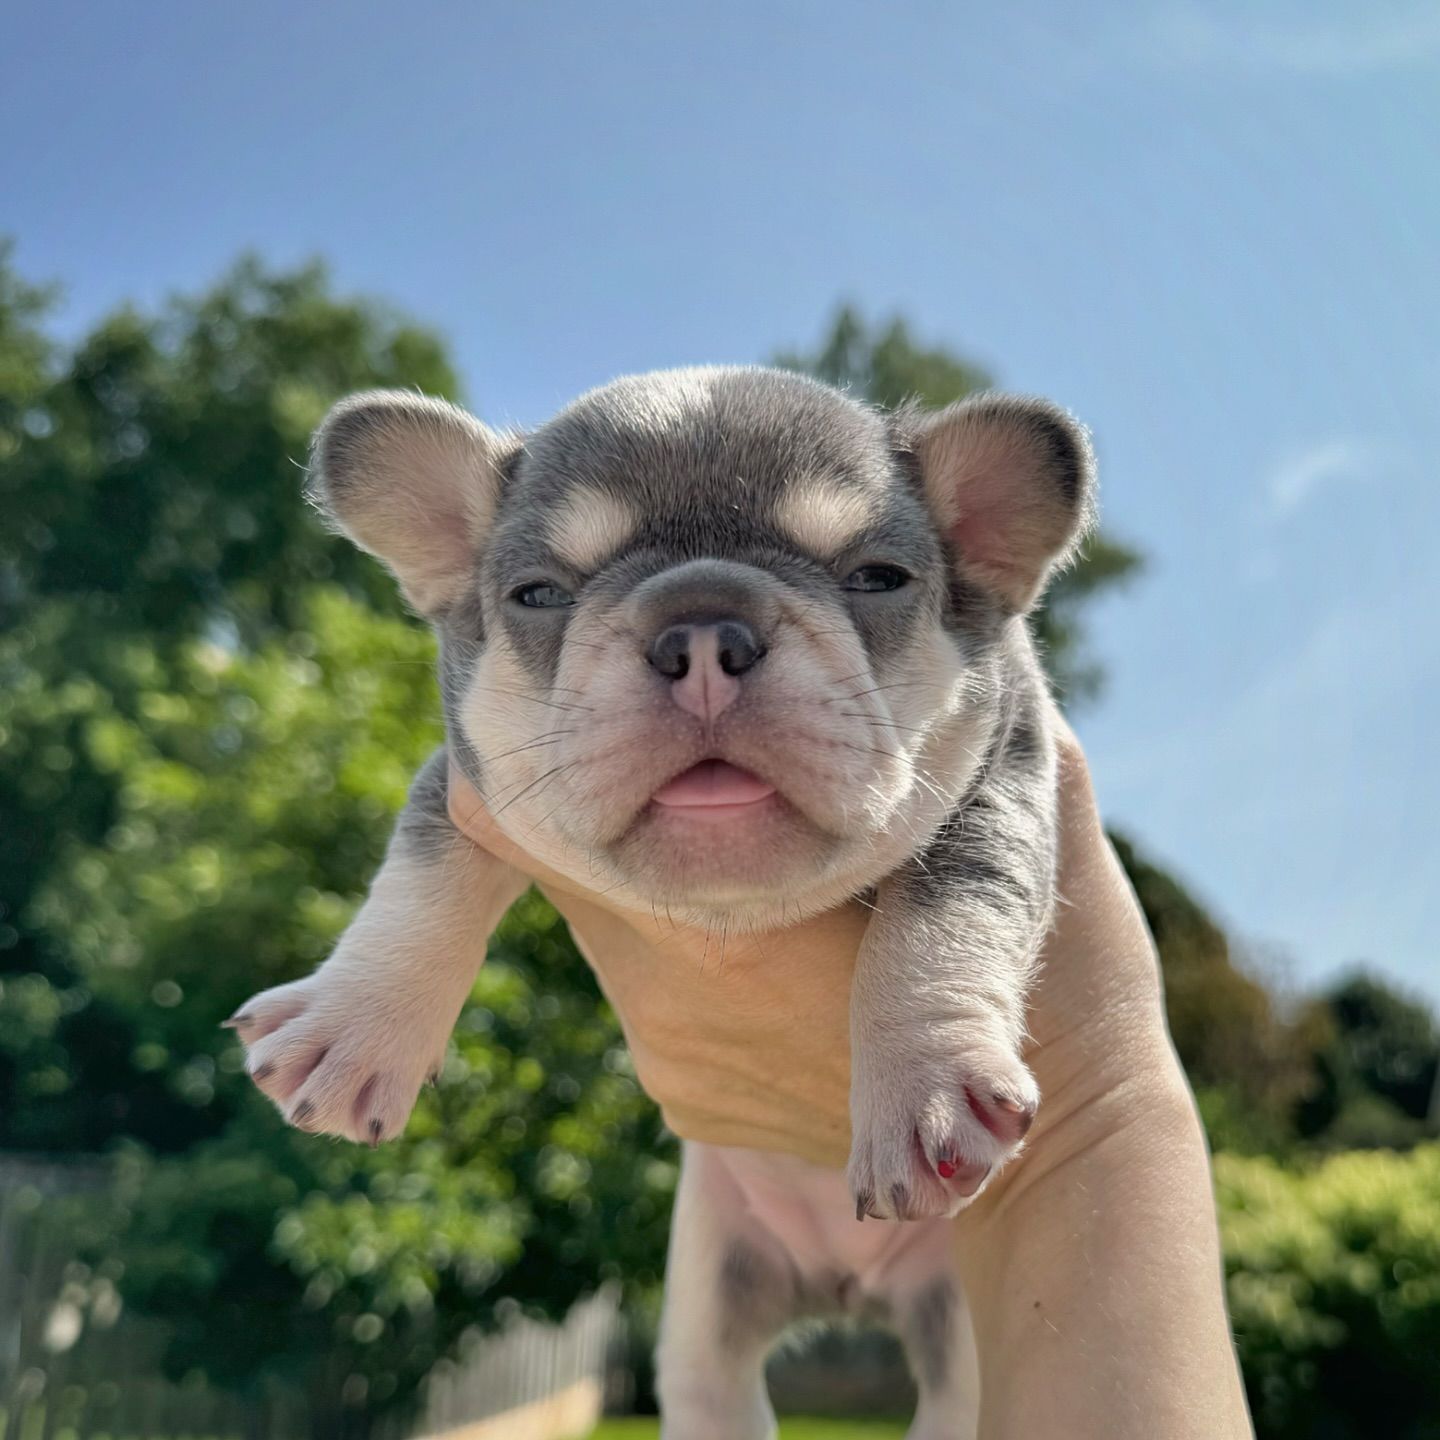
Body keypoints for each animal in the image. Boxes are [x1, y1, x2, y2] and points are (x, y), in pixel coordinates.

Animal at [230, 365, 1094, 1434]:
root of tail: (847, 1291)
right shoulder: (464, 784)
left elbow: (954, 905)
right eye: (538, 594)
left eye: (878, 579)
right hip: (709, 1302)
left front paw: (924, 1079)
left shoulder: (1004, 773)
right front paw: (355, 1025)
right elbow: (424, 876)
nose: (704, 630)